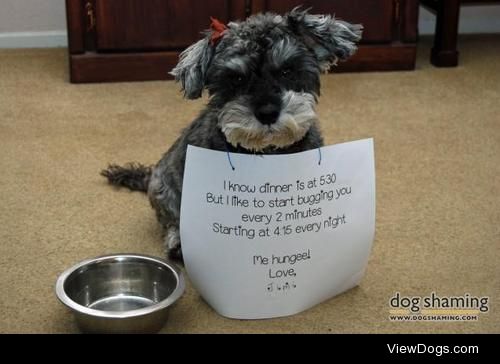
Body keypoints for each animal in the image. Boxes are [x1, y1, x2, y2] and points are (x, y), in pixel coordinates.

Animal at [101, 7, 362, 258]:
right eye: (236, 78)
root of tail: (150, 174)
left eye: (287, 71)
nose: (267, 113)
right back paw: (177, 242)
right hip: (164, 188)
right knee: (172, 220)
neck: (268, 152)